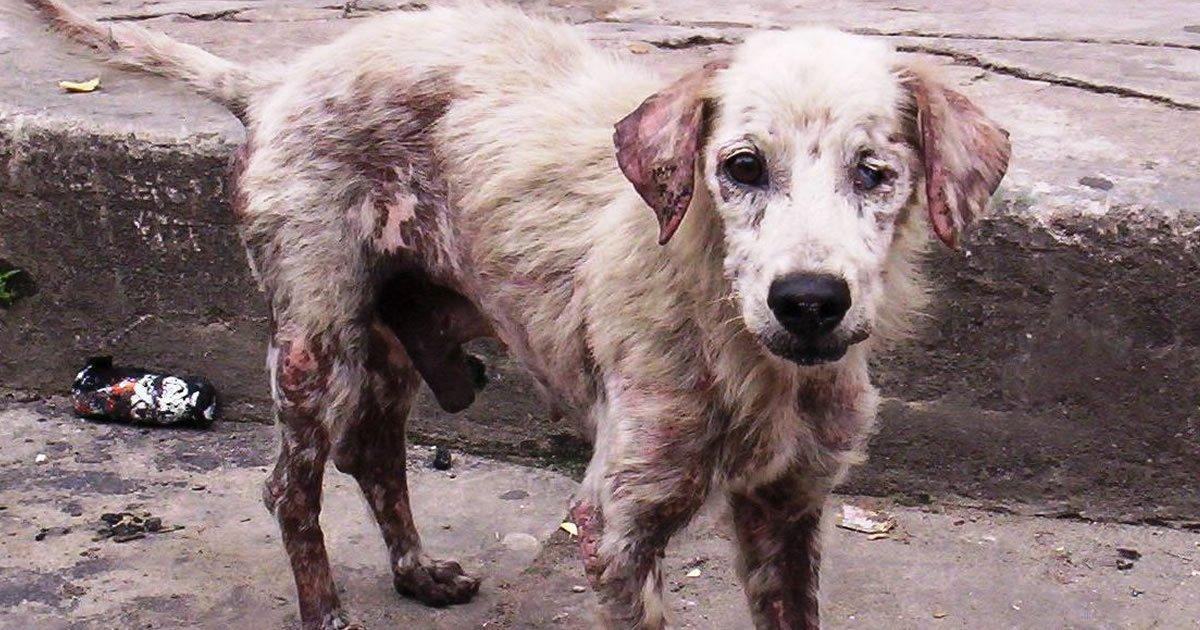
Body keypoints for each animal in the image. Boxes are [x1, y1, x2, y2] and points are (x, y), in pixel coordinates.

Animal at [16, 2, 1012, 624]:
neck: (736, 342)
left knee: (372, 452)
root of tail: (277, 80)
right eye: (740, 167)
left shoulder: (790, 509)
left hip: (394, 338)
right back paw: (325, 609)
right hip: (313, 336)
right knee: (291, 486)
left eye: (875, 173)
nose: (809, 302)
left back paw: (417, 573)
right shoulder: (616, 527)